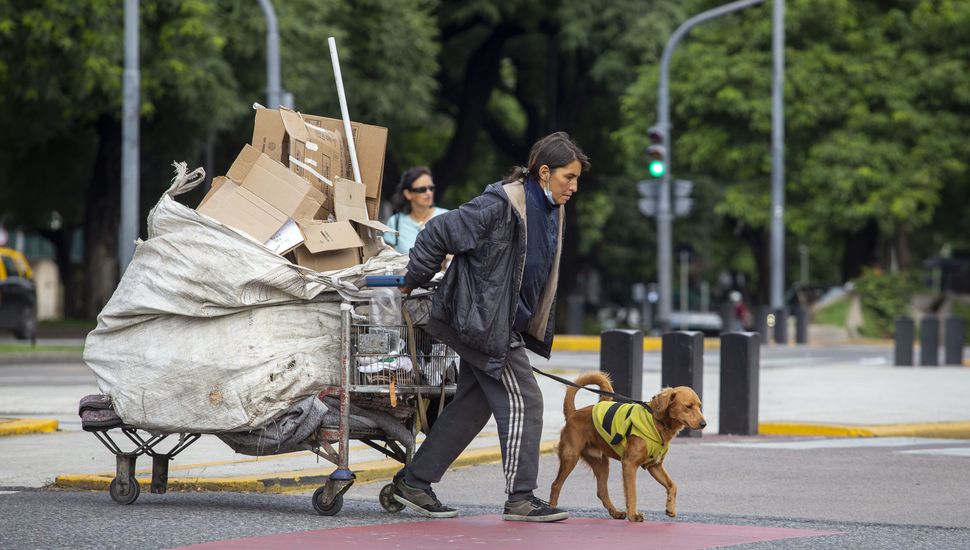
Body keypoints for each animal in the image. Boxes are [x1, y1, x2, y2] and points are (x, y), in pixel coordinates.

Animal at [552, 374, 704, 524]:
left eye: (699, 406)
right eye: (688, 406)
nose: (704, 424)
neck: (657, 422)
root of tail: (573, 413)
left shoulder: (654, 466)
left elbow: (672, 485)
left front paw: (670, 508)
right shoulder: (629, 464)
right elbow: (632, 493)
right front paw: (633, 516)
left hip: (601, 464)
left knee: (601, 491)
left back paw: (615, 512)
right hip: (570, 457)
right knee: (556, 485)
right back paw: (552, 509)